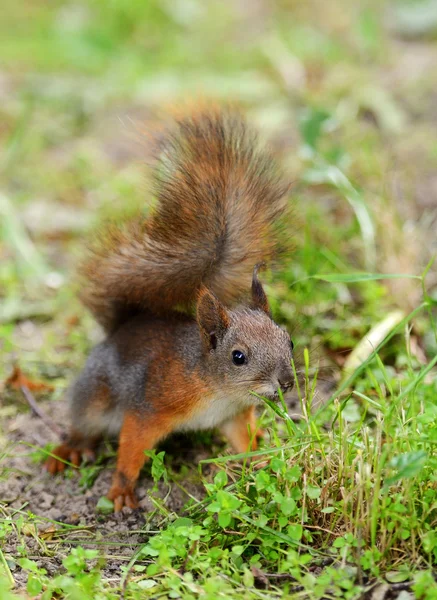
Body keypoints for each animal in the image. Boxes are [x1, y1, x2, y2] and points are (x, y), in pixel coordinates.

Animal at [44, 106, 294, 510]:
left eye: (289, 341)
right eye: (238, 356)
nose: (286, 381)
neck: (218, 388)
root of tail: (122, 327)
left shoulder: (234, 416)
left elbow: (243, 438)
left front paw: (261, 459)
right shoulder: (151, 406)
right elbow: (132, 447)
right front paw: (121, 490)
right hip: (94, 396)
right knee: (84, 425)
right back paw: (73, 448)